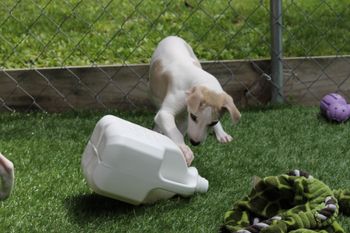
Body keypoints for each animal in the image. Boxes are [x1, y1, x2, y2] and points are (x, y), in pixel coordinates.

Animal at [148, 35, 241, 165]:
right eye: (193, 117)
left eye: (212, 123)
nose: (194, 143)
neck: (199, 79)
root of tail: (173, 36)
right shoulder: (167, 113)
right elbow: (174, 130)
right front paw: (184, 149)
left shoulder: (185, 117)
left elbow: (179, 131)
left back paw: (222, 134)